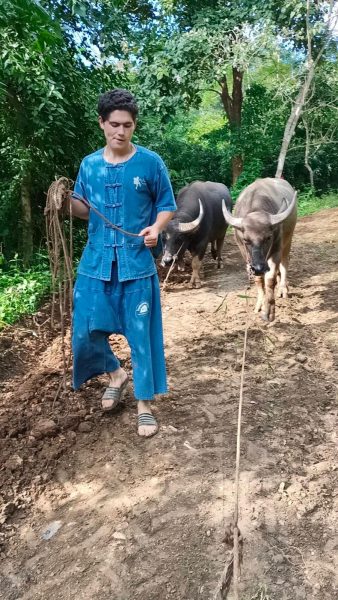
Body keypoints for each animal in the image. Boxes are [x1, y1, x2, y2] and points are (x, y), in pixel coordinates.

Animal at [223, 176, 298, 322]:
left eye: (268, 237)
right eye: (246, 240)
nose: (258, 267)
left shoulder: (276, 250)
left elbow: (270, 280)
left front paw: (269, 311)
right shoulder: (246, 255)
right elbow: (259, 280)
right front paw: (260, 304)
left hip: (288, 239)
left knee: (284, 263)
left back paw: (283, 288)